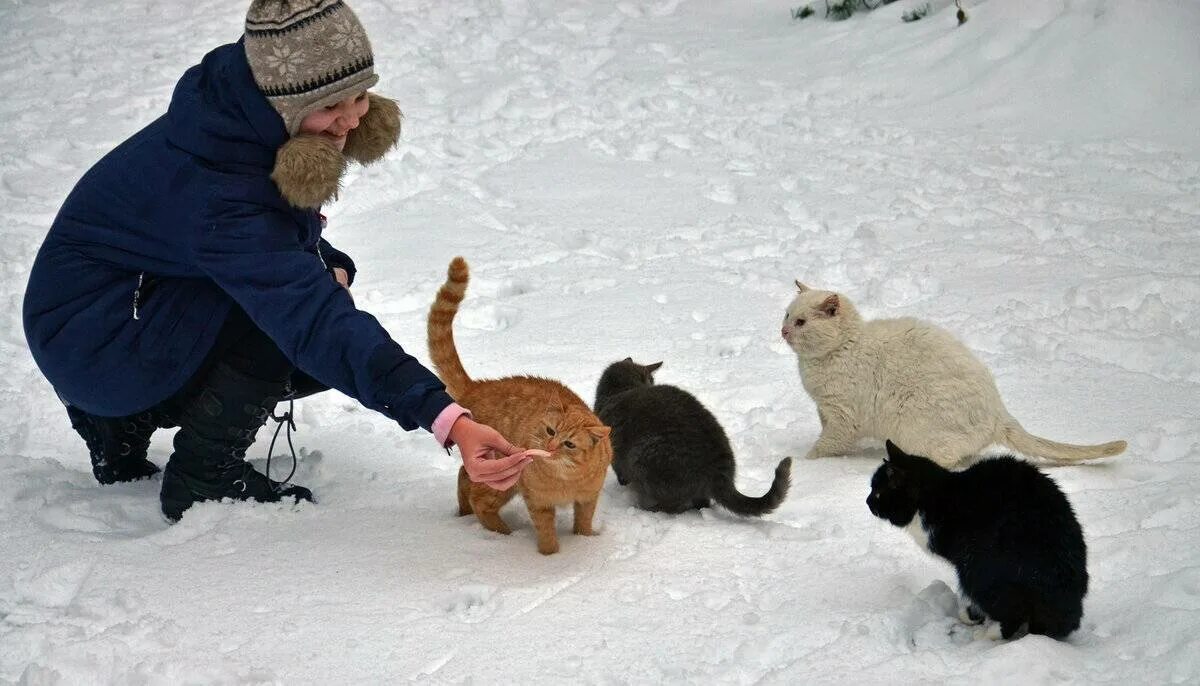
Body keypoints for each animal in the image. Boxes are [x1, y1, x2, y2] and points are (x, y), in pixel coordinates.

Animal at [429, 256, 614, 556]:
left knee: (464, 480)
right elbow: (546, 531)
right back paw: (504, 534)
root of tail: (477, 386)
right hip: (501, 482)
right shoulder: (537, 501)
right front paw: (551, 557)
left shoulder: (588, 498)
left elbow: (584, 522)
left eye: (569, 444)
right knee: (478, 498)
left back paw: (465, 515)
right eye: (550, 431)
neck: (565, 479)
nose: (550, 447)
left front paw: (585, 541)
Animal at [595, 359, 792, 513]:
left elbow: (620, 474)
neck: (621, 390)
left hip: (644, 456)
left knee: (673, 506)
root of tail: (720, 469)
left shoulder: (615, 456)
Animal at [777, 281, 1123, 470]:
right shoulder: (825, 410)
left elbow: (824, 446)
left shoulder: (843, 417)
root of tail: (1000, 412)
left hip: (917, 424)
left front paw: (808, 463)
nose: (783, 331)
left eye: (801, 322)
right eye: (787, 315)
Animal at [873, 438, 1089, 638]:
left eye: (877, 493)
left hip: (980, 567)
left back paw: (988, 633)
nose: (868, 502)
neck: (937, 497)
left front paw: (971, 616)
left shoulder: (962, 559)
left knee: (1011, 612)